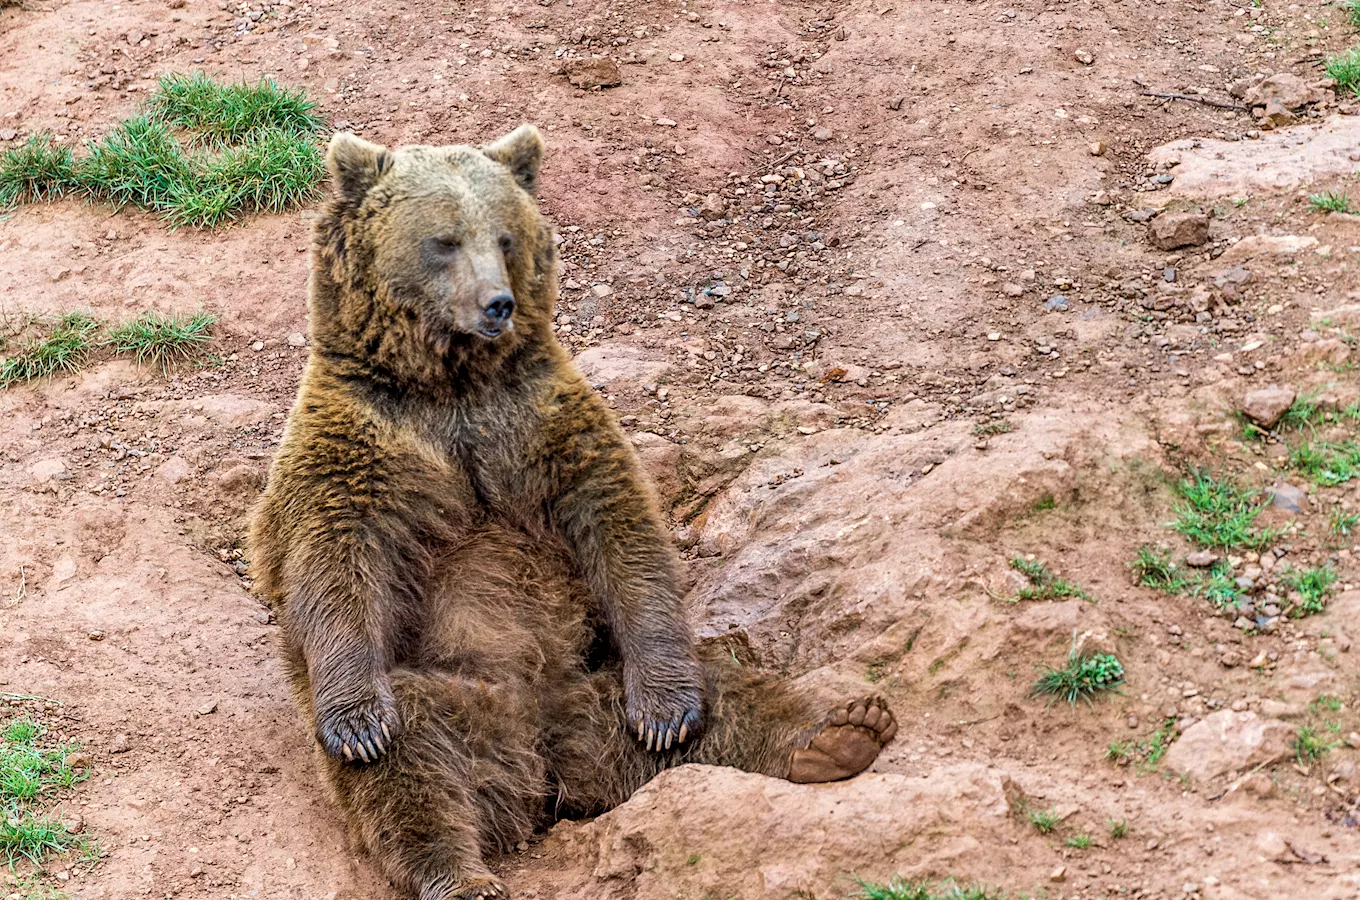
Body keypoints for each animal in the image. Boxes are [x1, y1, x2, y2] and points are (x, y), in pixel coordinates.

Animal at [250, 125, 897, 900]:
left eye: (504, 236)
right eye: (443, 240)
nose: (497, 303)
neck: (450, 384)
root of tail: (543, 752)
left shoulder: (538, 421)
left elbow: (621, 527)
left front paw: (668, 711)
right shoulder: (365, 443)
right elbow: (332, 563)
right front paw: (357, 722)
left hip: (600, 682)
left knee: (723, 694)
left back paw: (836, 730)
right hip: (449, 698)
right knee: (415, 764)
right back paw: (460, 874)